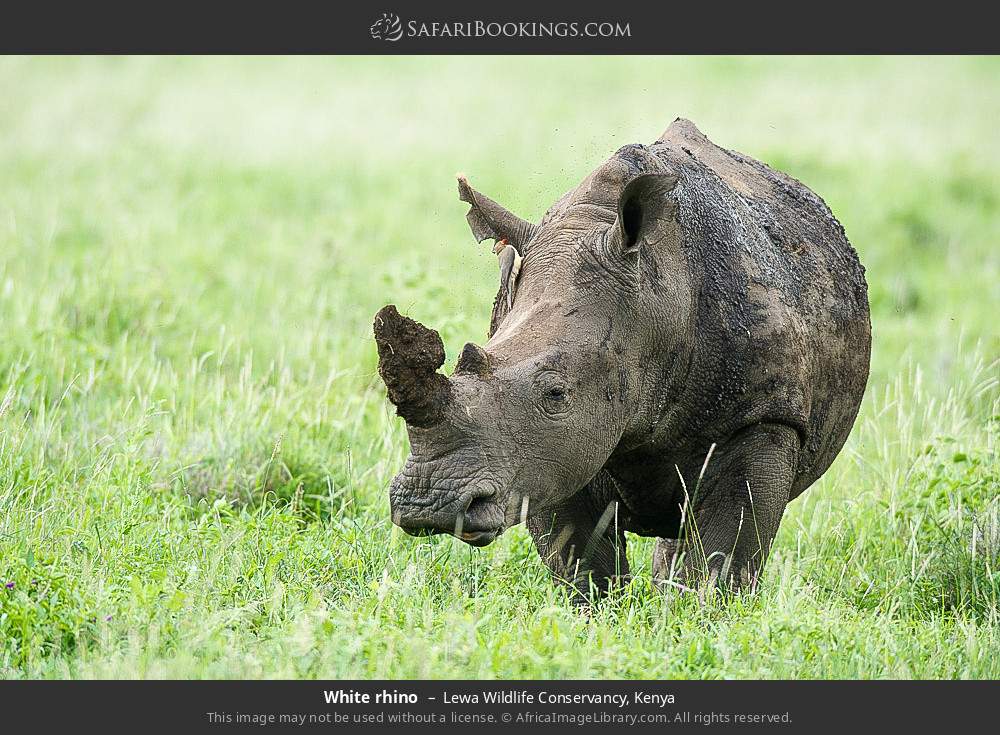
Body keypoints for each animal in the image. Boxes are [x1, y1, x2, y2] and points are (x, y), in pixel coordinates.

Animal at [373, 118, 870, 597]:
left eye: (556, 392)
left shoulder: (765, 415)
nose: (428, 504)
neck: (656, 302)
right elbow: (581, 563)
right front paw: (601, 616)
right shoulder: (548, 453)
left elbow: (722, 559)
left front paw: (696, 617)